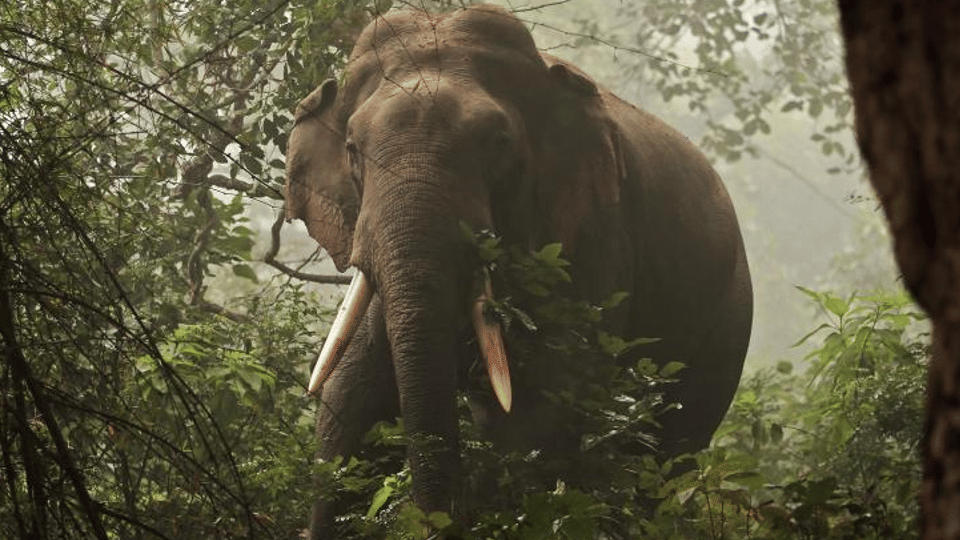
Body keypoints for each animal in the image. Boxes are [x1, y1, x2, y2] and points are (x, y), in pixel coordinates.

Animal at [284, 4, 752, 537]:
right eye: (352, 149)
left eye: (499, 145)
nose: (440, 520)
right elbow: (352, 398)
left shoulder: (591, 243)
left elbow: (540, 414)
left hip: (728, 321)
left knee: (660, 455)